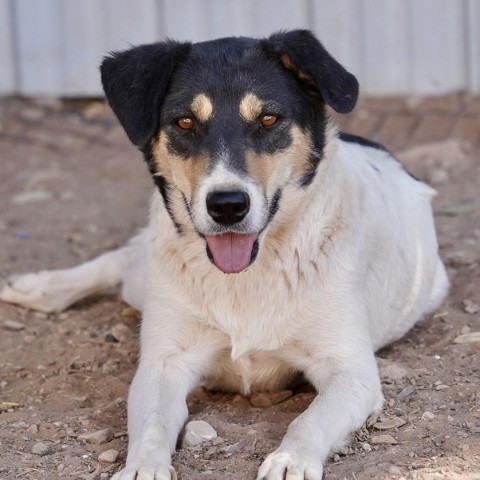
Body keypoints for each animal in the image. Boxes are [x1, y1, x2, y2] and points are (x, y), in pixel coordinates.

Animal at [0, 30, 450, 480]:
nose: (228, 205)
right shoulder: (163, 364)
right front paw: (144, 468)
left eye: (268, 120)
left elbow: (310, 419)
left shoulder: (352, 374)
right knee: (121, 259)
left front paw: (290, 459)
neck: (247, 274)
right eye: (185, 122)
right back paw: (36, 286)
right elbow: (151, 428)